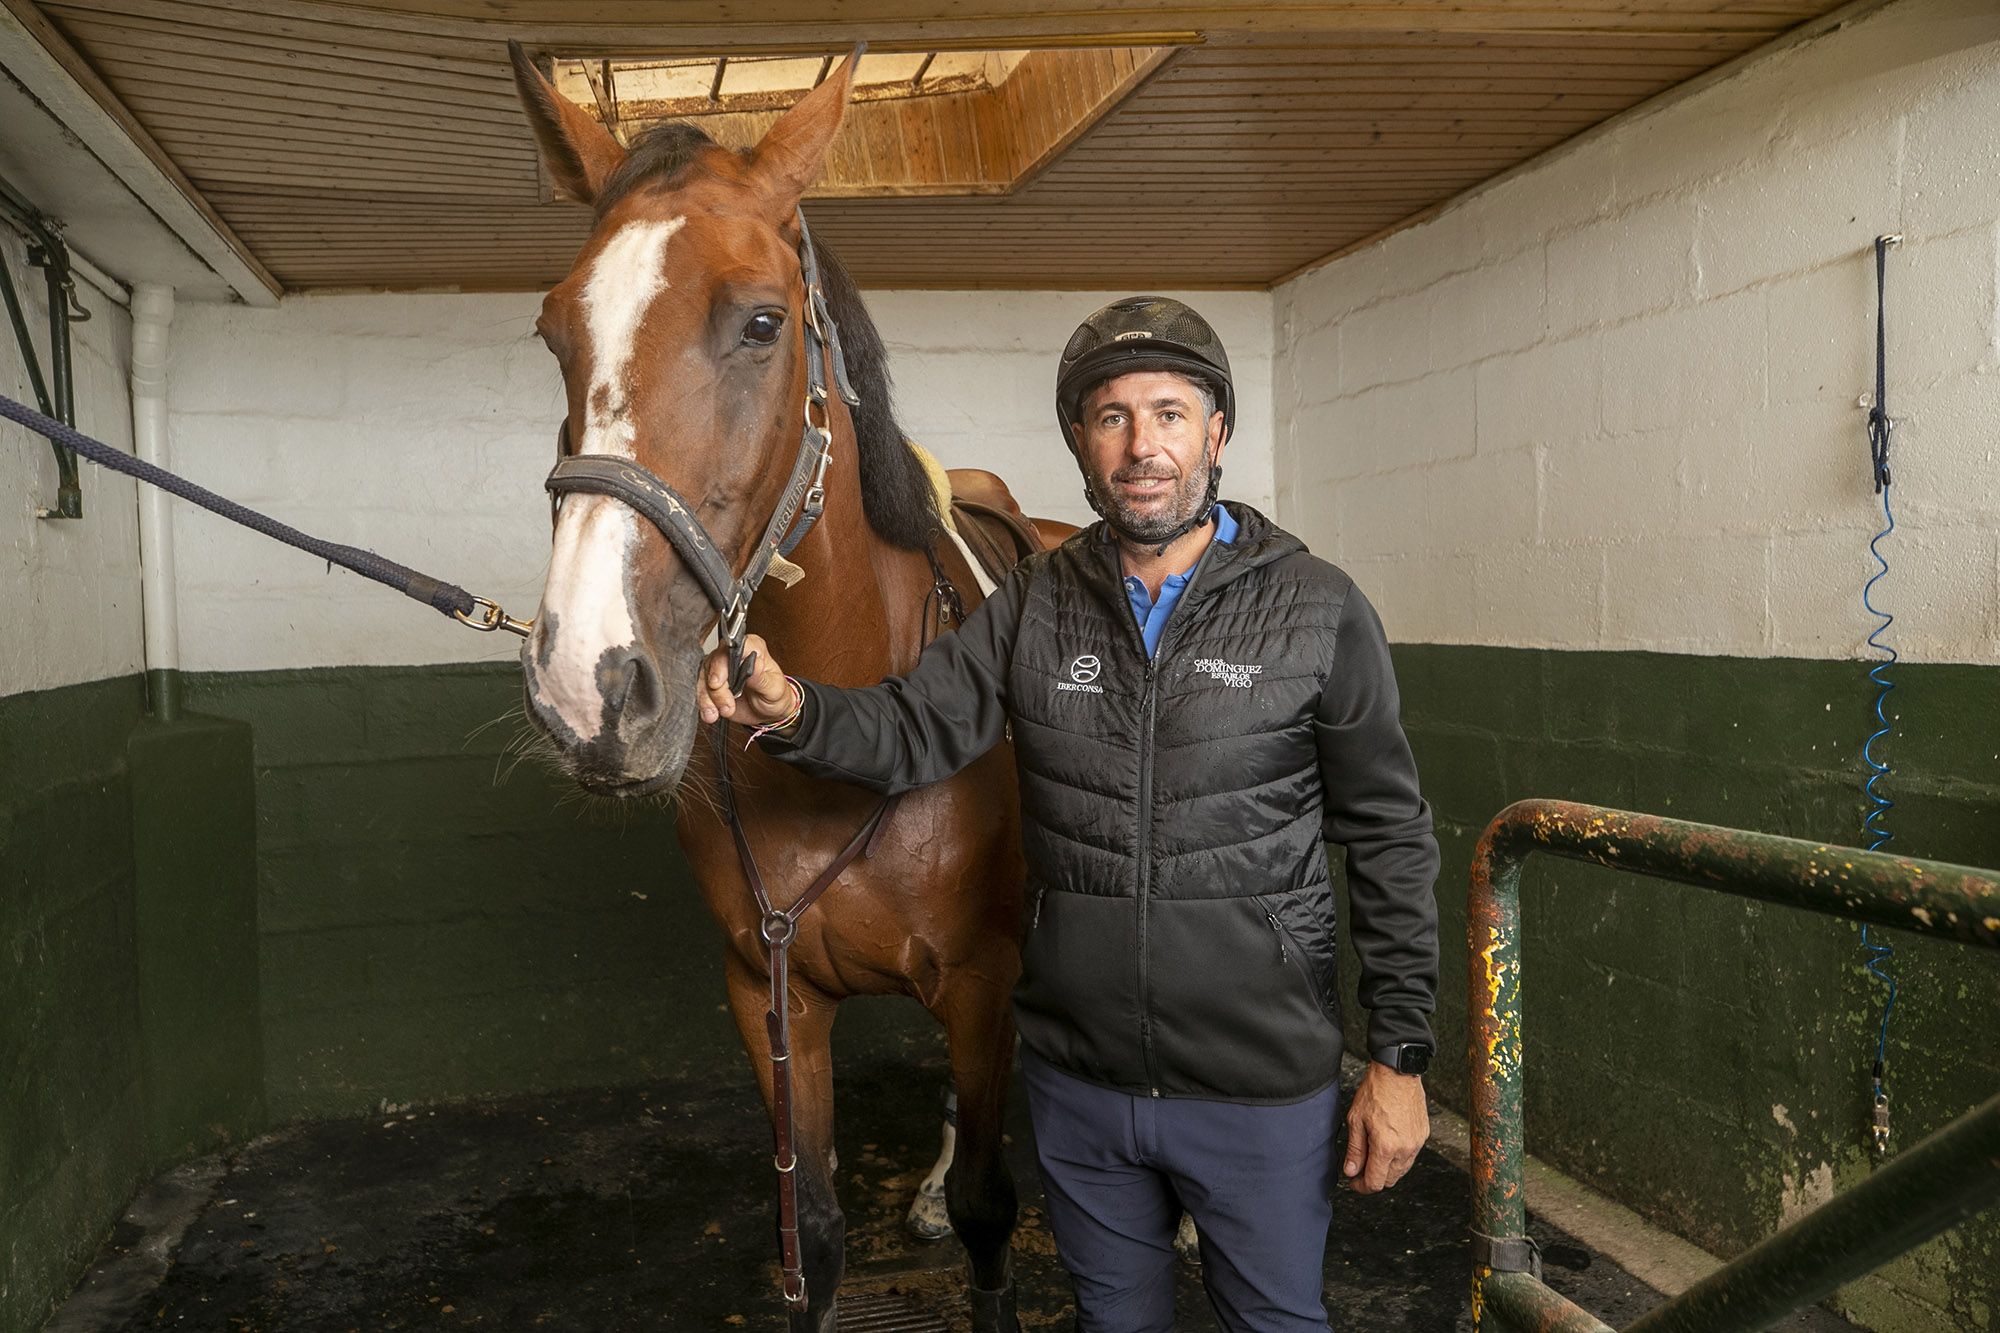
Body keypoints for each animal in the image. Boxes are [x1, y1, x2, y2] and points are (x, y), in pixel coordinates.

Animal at [508, 46, 1048, 1320]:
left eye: (761, 322)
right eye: (554, 333)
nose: (588, 687)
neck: (856, 727)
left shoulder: (980, 982)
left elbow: (989, 1210)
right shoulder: (768, 988)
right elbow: (814, 1232)